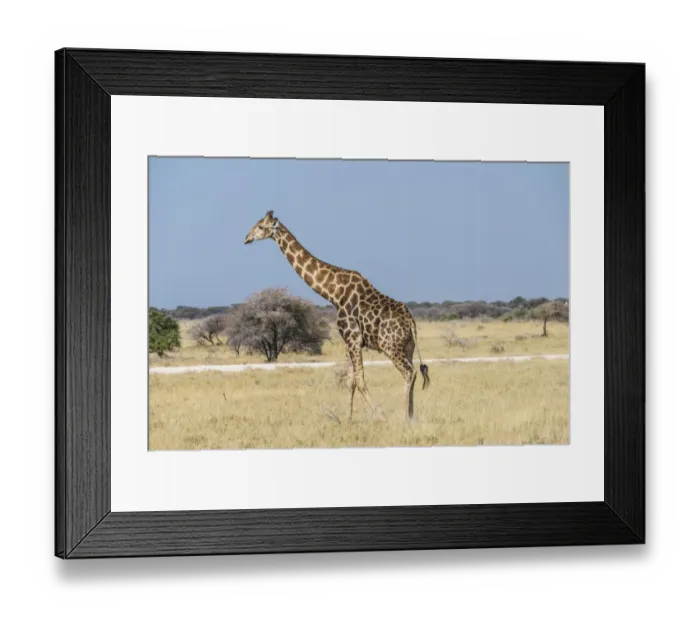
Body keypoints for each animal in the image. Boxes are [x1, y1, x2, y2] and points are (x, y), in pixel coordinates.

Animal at [244, 210, 430, 421]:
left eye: (261, 226)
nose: (246, 238)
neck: (333, 293)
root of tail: (411, 323)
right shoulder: (347, 341)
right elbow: (351, 381)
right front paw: (348, 419)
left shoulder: (353, 338)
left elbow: (360, 381)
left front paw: (379, 416)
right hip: (408, 347)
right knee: (414, 372)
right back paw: (411, 416)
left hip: (389, 346)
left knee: (408, 373)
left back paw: (403, 417)